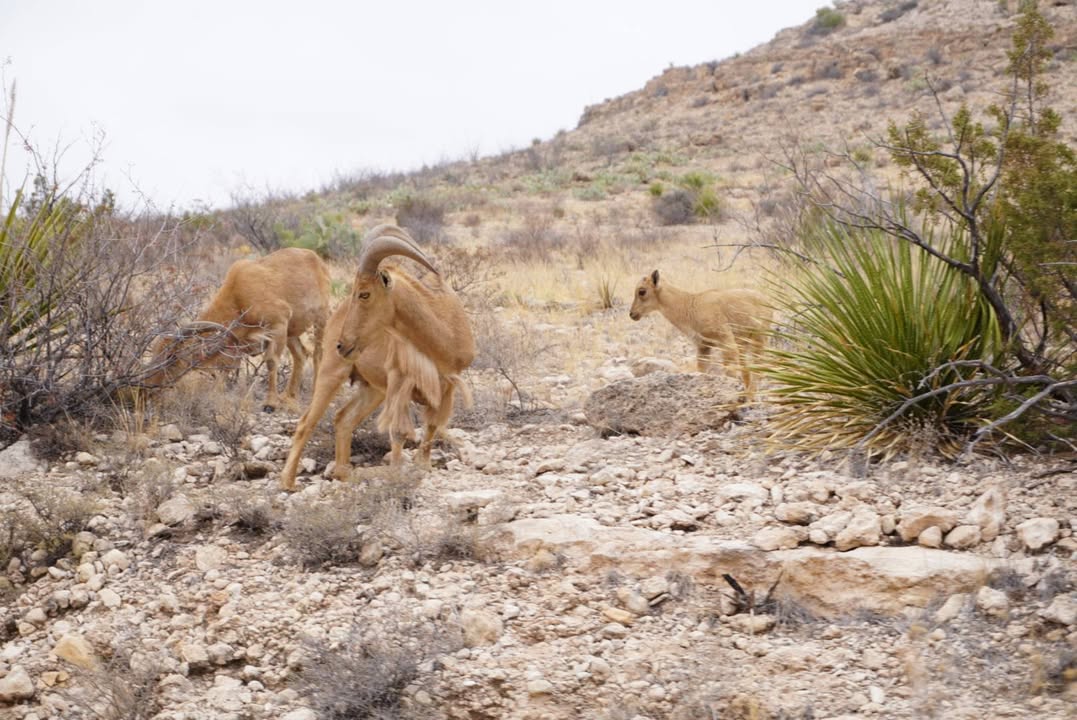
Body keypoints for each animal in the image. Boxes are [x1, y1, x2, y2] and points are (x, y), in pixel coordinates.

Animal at [144, 247, 330, 411]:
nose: (149, 386)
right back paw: (288, 396)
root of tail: (317, 260)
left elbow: (271, 362)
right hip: (291, 332)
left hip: (320, 318)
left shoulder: (278, 324)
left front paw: (270, 403)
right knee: (301, 355)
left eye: (172, 357)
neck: (238, 295)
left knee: (318, 353)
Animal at [279, 224, 475, 491]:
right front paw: (397, 472)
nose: (342, 344)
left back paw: (347, 473)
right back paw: (287, 481)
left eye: (364, 294)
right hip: (332, 373)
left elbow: (432, 425)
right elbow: (398, 432)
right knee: (306, 422)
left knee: (343, 419)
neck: (442, 331)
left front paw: (423, 465)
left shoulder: (448, 385)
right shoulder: (400, 383)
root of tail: (335, 315)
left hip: (372, 389)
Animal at [629, 269, 772, 396]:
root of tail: (767, 301)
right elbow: (703, 372)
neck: (691, 306)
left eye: (642, 291)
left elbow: (730, 372)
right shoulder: (703, 346)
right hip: (744, 344)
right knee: (748, 371)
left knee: (759, 370)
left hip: (759, 339)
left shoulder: (726, 341)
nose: (632, 314)